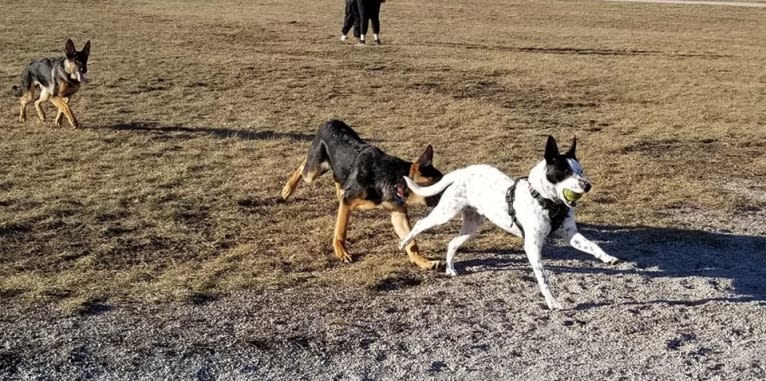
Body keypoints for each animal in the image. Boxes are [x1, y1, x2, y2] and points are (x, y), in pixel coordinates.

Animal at [282, 120, 444, 268]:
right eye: (439, 185)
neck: (394, 179)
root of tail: (330, 121)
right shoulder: (348, 201)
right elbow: (340, 229)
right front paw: (341, 251)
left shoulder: (398, 213)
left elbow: (411, 242)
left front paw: (422, 261)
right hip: (313, 171)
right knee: (302, 167)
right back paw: (287, 189)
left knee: (336, 178)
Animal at [400, 135, 620, 308]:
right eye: (565, 172)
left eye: (581, 171)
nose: (588, 185)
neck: (547, 202)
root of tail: (466, 170)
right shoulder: (532, 246)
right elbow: (543, 277)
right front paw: (552, 301)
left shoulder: (571, 235)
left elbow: (592, 245)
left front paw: (608, 257)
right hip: (445, 213)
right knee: (420, 224)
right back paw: (404, 243)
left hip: (472, 226)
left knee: (452, 243)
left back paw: (450, 269)